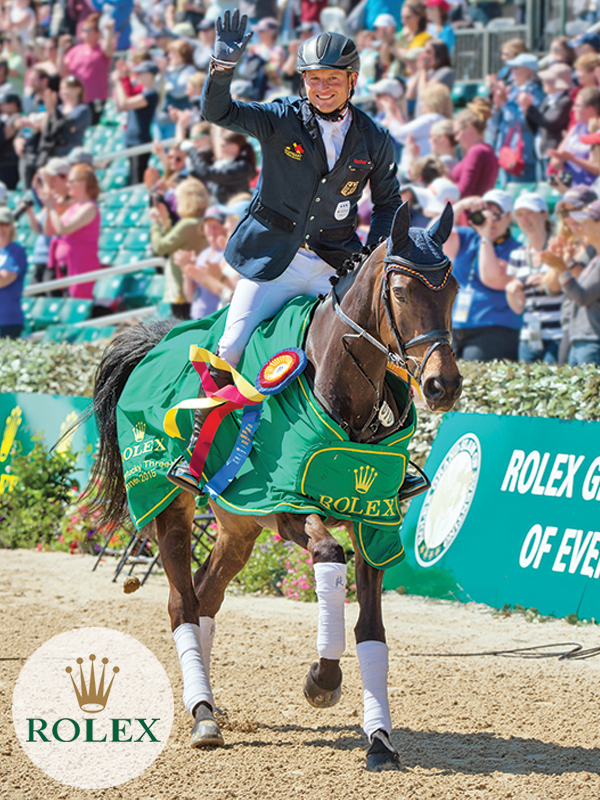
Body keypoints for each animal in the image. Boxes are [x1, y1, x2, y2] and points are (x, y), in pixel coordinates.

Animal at [86, 202, 463, 771]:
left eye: (454, 288)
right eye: (399, 292)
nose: (444, 385)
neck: (339, 389)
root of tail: (155, 343)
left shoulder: (374, 522)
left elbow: (372, 633)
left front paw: (380, 740)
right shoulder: (286, 507)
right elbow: (328, 555)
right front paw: (323, 680)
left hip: (238, 524)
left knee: (206, 595)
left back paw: (207, 705)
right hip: (170, 507)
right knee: (182, 604)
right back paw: (202, 717)